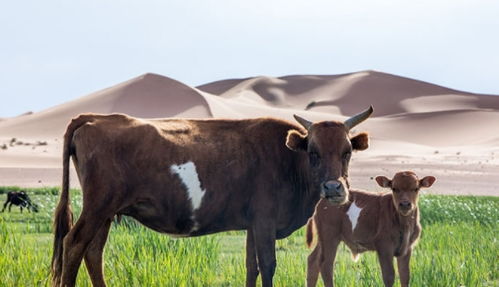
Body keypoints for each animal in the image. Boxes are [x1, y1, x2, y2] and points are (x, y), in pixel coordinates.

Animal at [50, 106, 374, 287]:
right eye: (313, 152)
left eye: (347, 151)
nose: (334, 189)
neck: (288, 159)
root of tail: (95, 117)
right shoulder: (265, 221)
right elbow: (268, 265)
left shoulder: (252, 225)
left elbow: (252, 267)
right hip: (97, 207)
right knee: (74, 244)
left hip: (106, 213)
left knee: (93, 252)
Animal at [306, 172, 436, 286]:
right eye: (394, 188)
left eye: (416, 188)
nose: (404, 204)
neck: (404, 223)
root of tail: (323, 199)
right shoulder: (384, 245)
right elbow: (389, 276)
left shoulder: (407, 248)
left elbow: (405, 276)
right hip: (330, 235)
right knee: (326, 265)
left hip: (323, 237)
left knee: (313, 260)